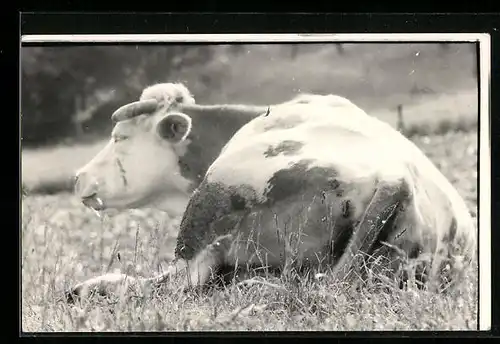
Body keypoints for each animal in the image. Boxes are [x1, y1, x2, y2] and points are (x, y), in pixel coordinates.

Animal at [67, 82, 476, 302]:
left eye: (119, 138)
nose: (77, 178)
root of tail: (395, 179)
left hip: (210, 207)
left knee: (179, 284)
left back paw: (93, 288)